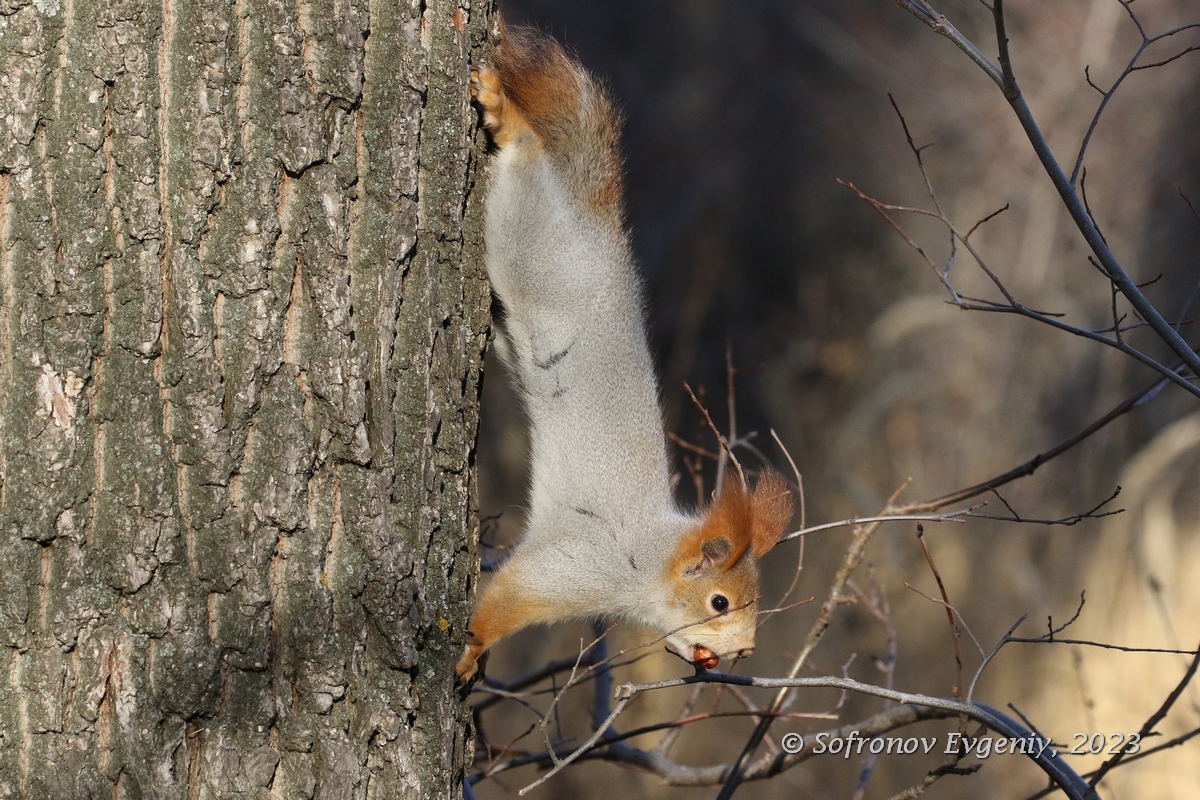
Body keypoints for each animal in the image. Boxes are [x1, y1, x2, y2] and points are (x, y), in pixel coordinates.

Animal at [453, 23, 792, 681]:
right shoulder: (577, 566)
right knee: (528, 157)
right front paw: (473, 649)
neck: (648, 560)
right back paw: (506, 115)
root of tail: (601, 225)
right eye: (719, 602)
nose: (744, 652)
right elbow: (506, 599)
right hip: (530, 243)